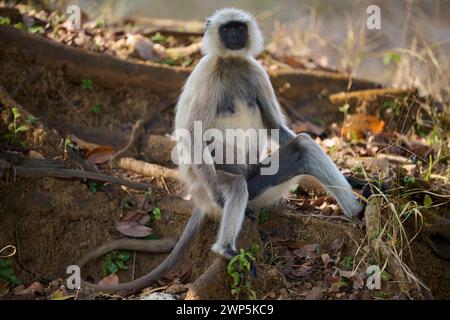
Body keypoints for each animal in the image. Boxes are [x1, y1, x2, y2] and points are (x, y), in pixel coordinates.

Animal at [79, 8, 364, 292]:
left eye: (239, 27)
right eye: (227, 29)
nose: (235, 35)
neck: (231, 62)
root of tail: (196, 198)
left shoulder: (256, 71)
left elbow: (275, 126)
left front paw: (355, 180)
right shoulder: (209, 74)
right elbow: (193, 136)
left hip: (258, 184)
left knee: (303, 146)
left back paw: (357, 213)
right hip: (212, 183)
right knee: (235, 185)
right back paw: (225, 249)